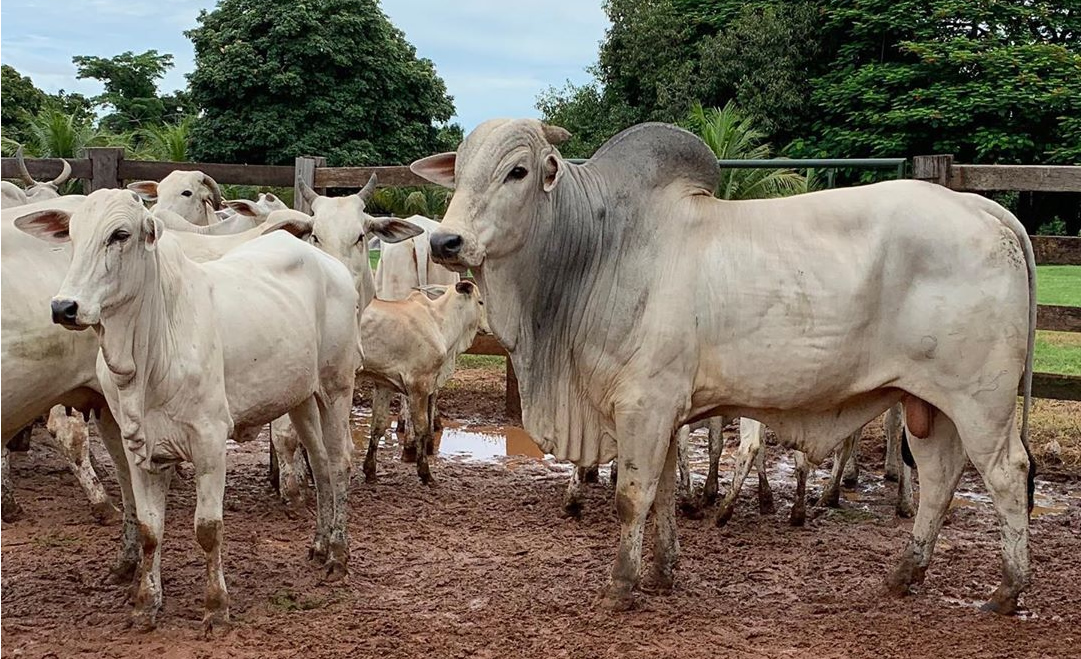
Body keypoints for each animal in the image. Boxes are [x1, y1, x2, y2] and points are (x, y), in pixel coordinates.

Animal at [16, 186, 361, 626]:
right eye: (72, 237)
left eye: (120, 235)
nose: (64, 307)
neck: (148, 352)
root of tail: (328, 262)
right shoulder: (139, 447)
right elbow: (150, 530)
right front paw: (146, 603)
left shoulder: (210, 441)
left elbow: (208, 529)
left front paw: (216, 606)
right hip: (301, 396)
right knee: (318, 462)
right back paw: (319, 544)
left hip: (337, 386)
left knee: (339, 461)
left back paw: (338, 554)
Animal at [415, 120, 1037, 613]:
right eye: (460, 169)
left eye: (517, 171)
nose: (447, 241)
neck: (599, 249)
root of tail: (983, 207)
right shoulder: (661, 412)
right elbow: (662, 495)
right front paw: (663, 573)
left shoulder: (643, 404)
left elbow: (631, 497)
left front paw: (621, 587)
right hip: (927, 403)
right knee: (939, 480)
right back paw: (903, 575)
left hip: (981, 401)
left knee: (1008, 474)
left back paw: (1007, 592)